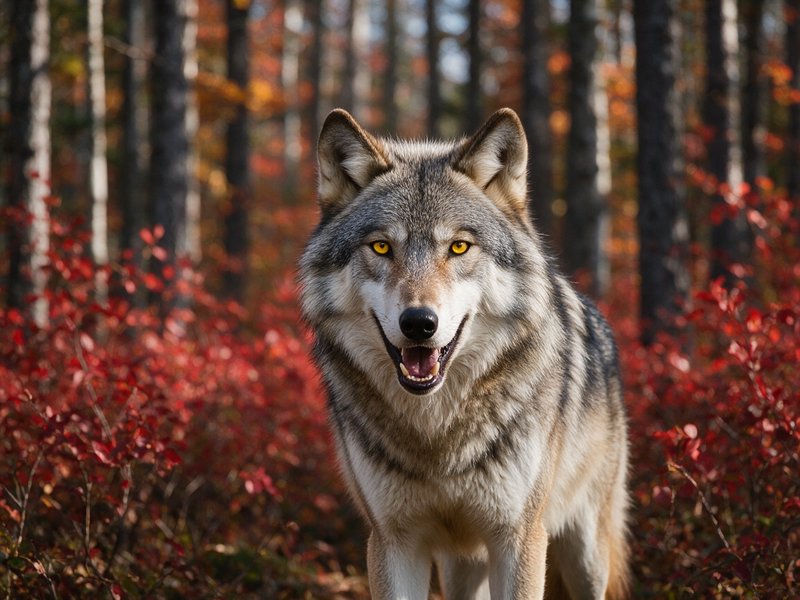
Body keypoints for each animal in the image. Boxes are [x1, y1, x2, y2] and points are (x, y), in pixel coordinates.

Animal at [299, 108, 629, 600]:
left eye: (458, 246)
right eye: (381, 246)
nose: (419, 323)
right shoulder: (393, 541)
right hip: (463, 564)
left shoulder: (519, 539)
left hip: (584, 553)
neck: (438, 432)